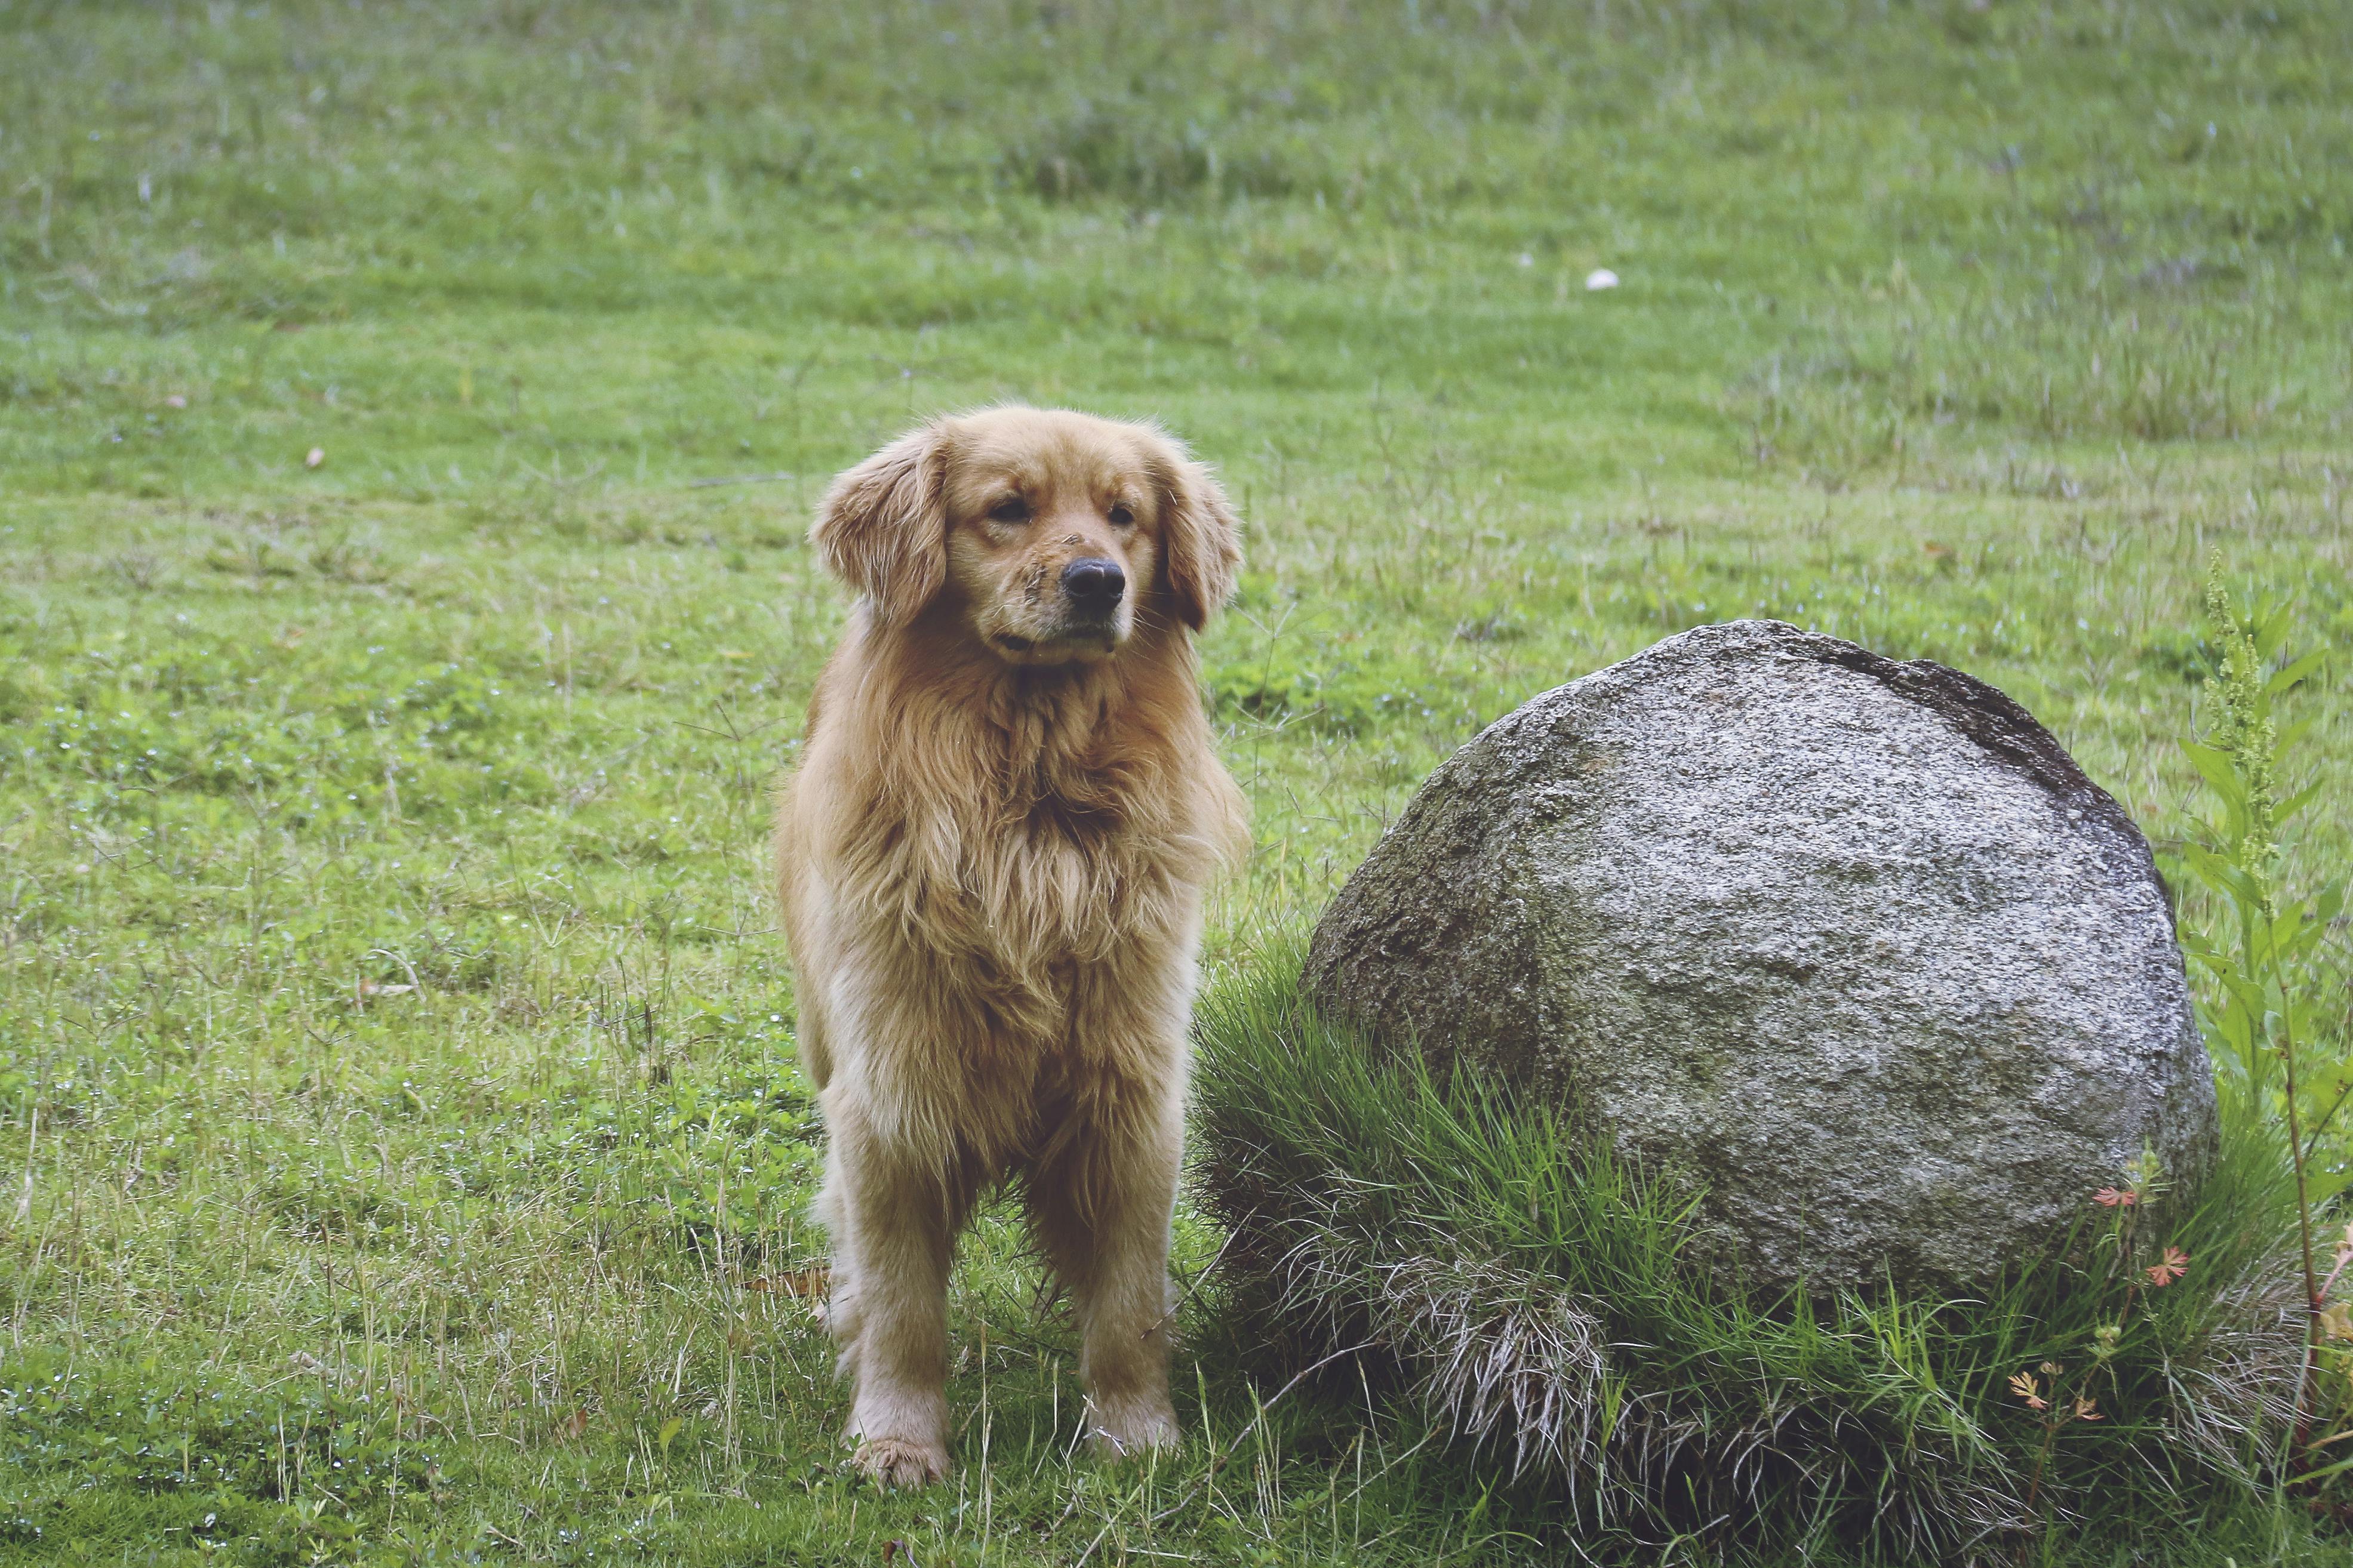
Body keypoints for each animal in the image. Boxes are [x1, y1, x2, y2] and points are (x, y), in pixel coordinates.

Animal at [776, 402, 1251, 1486]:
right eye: (1007, 509)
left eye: (1124, 517)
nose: (1099, 580)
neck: (1028, 805)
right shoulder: (890, 1094)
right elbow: (905, 1305)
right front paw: (897, 1438)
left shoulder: (1130, 1092)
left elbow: (1128, 1303)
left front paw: (1136, 1433)